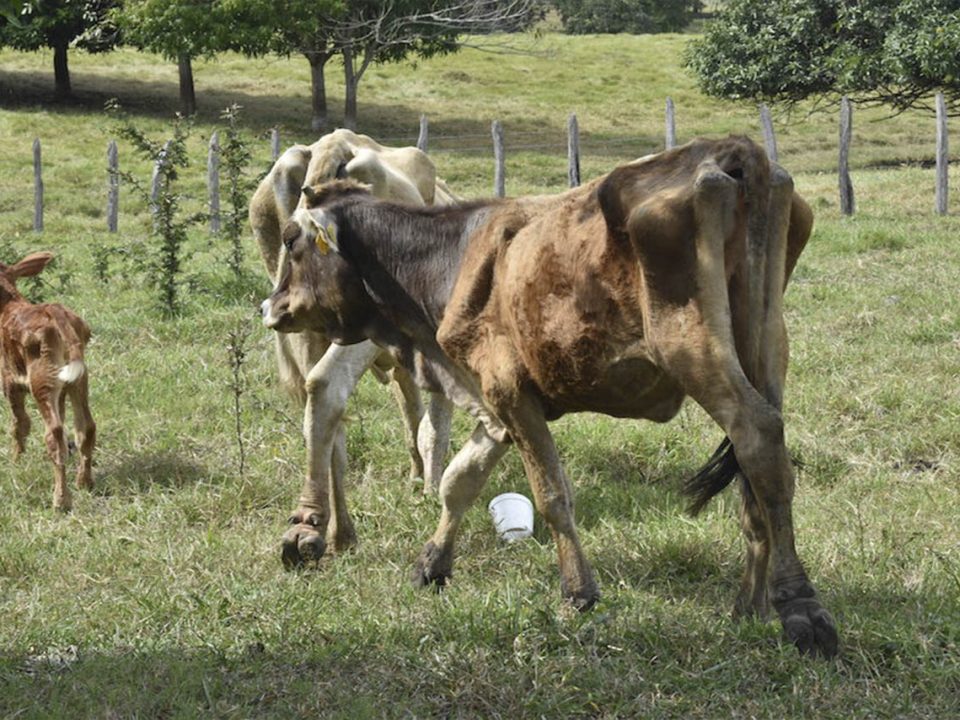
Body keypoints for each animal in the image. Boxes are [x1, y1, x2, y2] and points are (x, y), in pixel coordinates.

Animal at [1, 253, 95, 512]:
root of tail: (56, 311)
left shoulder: (8, 380)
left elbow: (19, 423)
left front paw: (16, 459)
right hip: (78, 379)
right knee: (85, 427)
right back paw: (84, 482)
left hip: (41, 380)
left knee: (54, 433)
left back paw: (61, 499)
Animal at [249, 131, 456, 568]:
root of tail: (332, 146)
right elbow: (433, 426)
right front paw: (431, 488)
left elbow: (412, 416)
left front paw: (418, 478)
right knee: (328, 387)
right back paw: (323, 528)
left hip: (306, 328)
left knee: (323, 417)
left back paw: (327, 531)